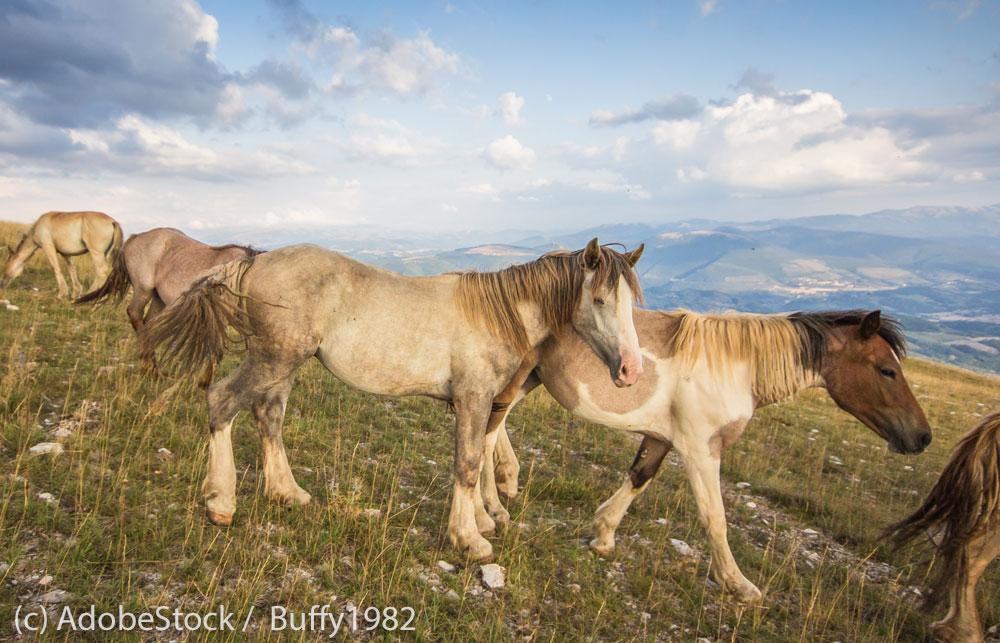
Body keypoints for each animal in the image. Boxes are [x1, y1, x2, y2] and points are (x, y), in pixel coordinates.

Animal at [76, 228, 260, 384]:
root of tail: (137, 236)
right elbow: (217, 351)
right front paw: (203, 387)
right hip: (143, 290)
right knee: (135, 315)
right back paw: (150, 370)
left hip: (159, 299)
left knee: (149, 324)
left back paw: (151, 371)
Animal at [141, 239, 644, 560]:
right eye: (599, 300)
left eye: (631, 302)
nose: (630, 370)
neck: (496, 313)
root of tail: (254, 262)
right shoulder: (473, 400)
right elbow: (468, 465)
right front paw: (470, 540)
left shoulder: (486, 405)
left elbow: (478, 460)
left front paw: (482, 522)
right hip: (271, 359)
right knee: (222, 403)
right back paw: (221, 503)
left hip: (283, 363)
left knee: (269, 417)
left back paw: (288, 493)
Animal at [480, 310, 932, 600]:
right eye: (887, 370)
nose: (922, 437)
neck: (736, 369)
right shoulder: (701, 450)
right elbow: (715, 518)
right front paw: (737, 584)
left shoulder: (662, 439)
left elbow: (639, 478)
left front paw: (603, 534)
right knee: (487, 431)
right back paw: (491, 507)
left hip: (530, 380)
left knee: (497, 427)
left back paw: (506, 483)